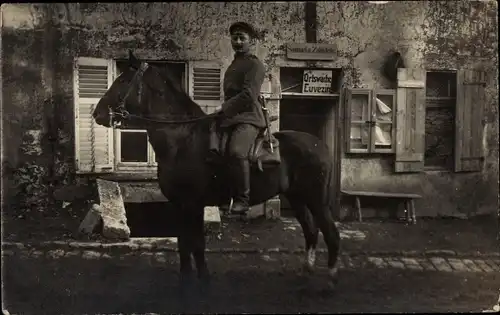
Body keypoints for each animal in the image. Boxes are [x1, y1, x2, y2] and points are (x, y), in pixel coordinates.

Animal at [92, 51, 342, 294]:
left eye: (123, 80)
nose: (97, 113)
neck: (182, 139)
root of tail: (320, 145)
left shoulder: (192, 204)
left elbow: (196, 244)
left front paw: (199, 281)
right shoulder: (179, 205)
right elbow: (184, 243)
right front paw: (188, 280)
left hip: (316, 200)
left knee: (331, 233)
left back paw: (330, 280)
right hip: (297, 197)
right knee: (311, 231)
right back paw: (306, 273)